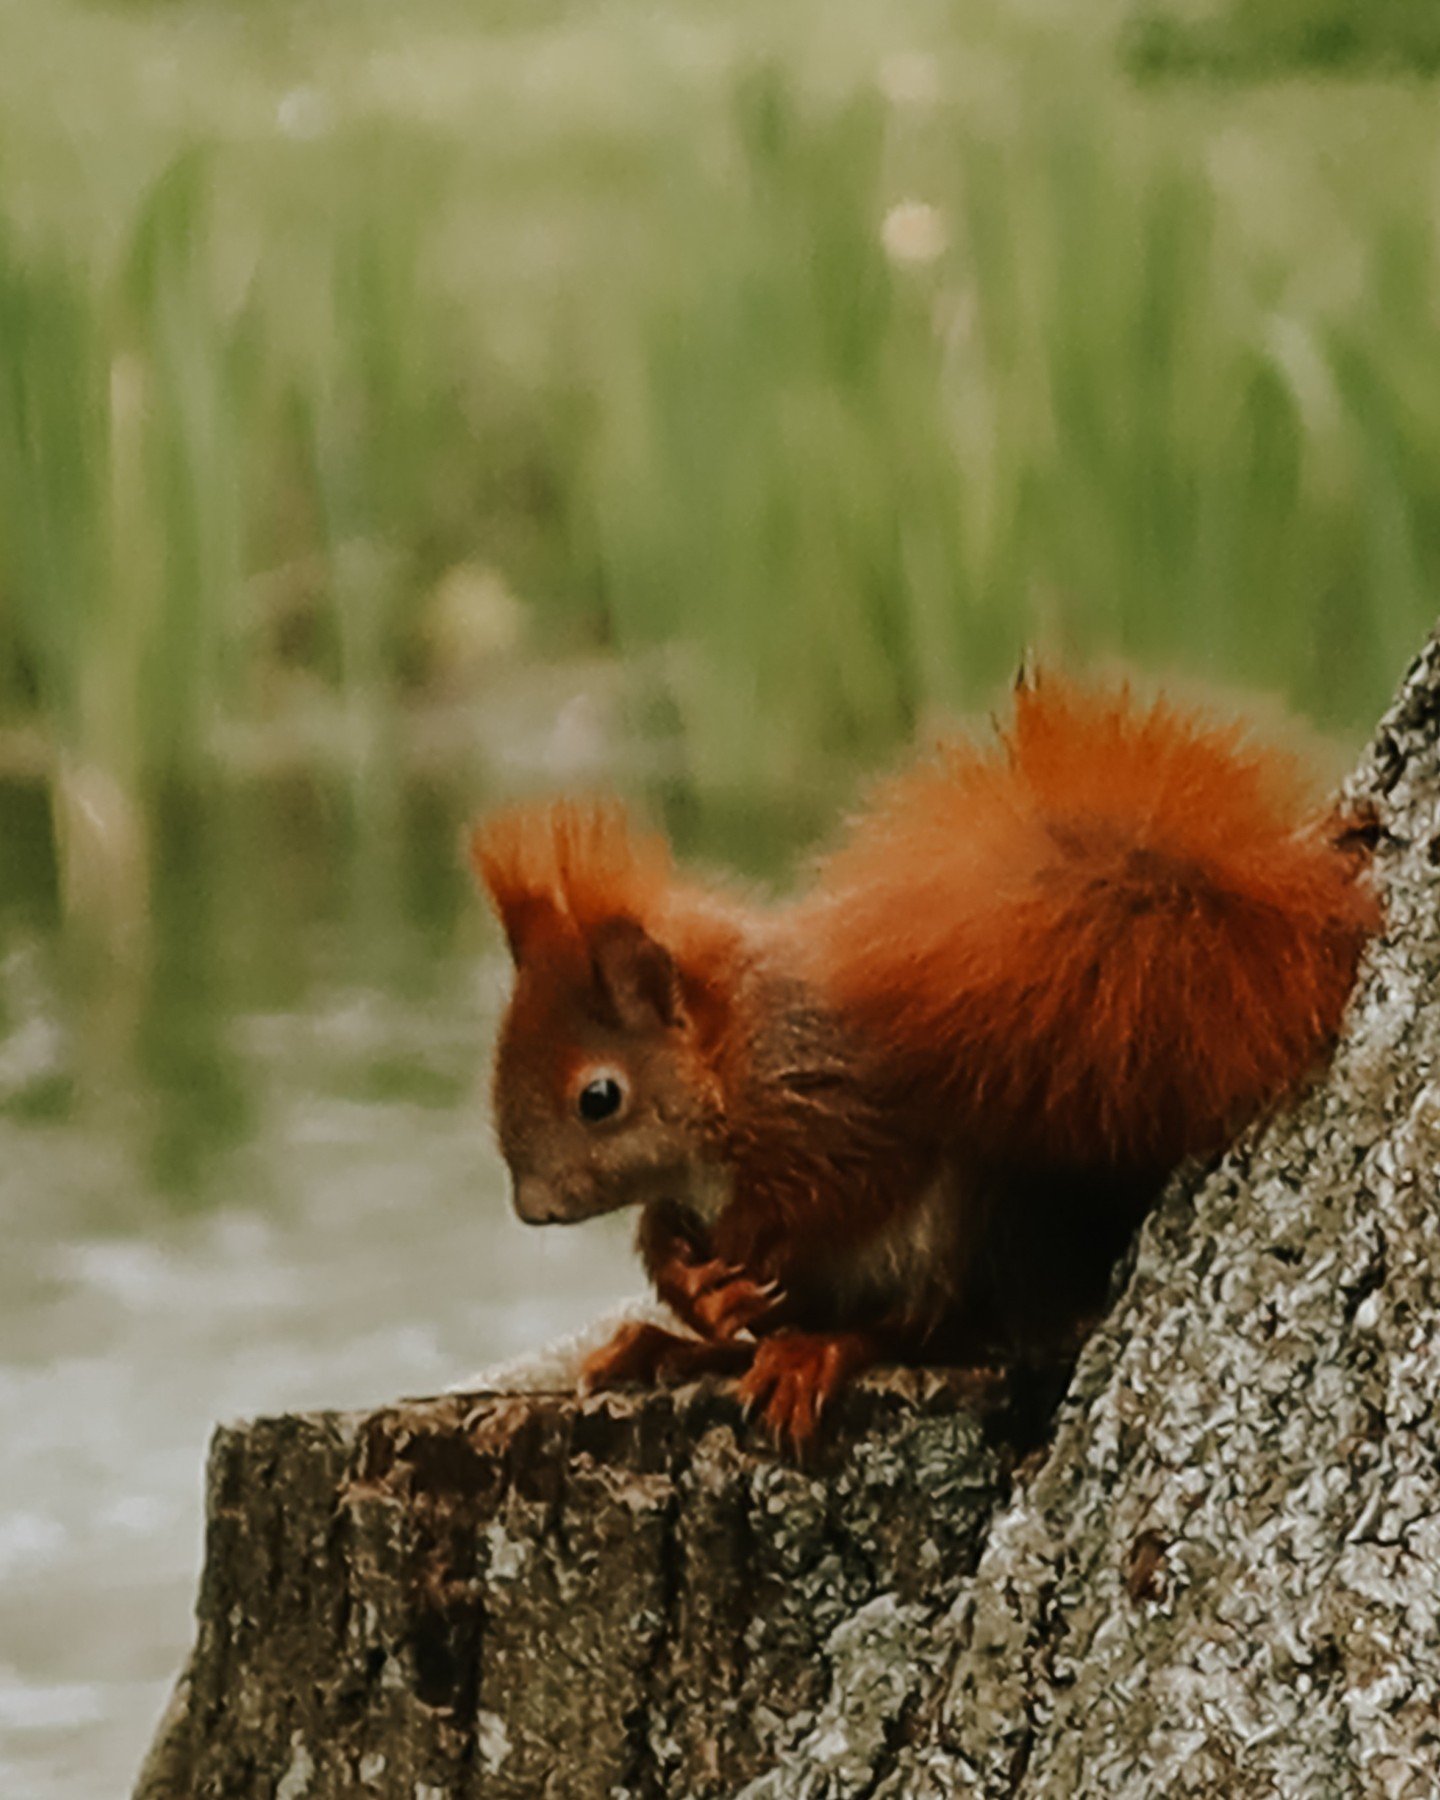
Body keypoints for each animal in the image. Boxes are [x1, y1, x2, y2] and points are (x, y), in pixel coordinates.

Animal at [468, 676, 1375, 1447]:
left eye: (599, 1098)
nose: (532, 1210)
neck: (732, 1066)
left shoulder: (839, 1106)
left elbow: (841, 1189)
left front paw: (745, 1258)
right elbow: (664, 1233)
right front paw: (694, 1285)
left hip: (962, 1227)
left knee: (925, 1328)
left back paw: (813, 1350)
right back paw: (669, 1349)